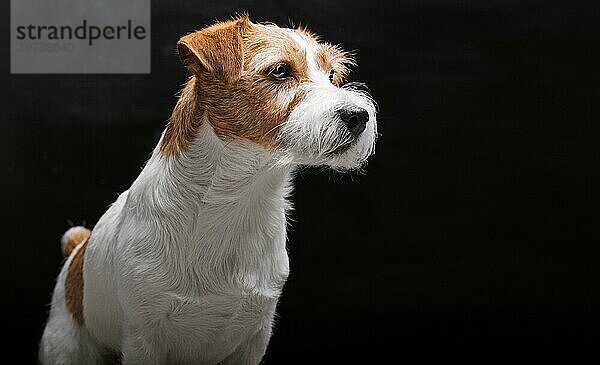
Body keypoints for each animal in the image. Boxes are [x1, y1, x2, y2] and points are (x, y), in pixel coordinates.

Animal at [39, 15, 378, 362]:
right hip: (66, 346)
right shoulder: (143, 338)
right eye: (280, 71)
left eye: (331, 75)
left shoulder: (254, 336)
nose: (358, 116)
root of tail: (78, 248)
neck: (238, 195)